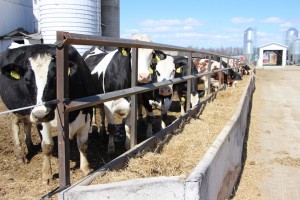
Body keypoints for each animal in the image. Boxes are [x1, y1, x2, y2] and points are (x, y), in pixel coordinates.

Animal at [0, 43, 96, 183]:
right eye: (27, 80)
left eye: (55, 77)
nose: (41, 114)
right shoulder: (41, 120)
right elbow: (47, 146)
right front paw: (46, 174)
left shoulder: (87, 113)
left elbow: (83, 144)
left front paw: (86, 169)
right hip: (17, 109)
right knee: (15, 124)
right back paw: (20, 155)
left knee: (27, 123)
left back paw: (30, 146)